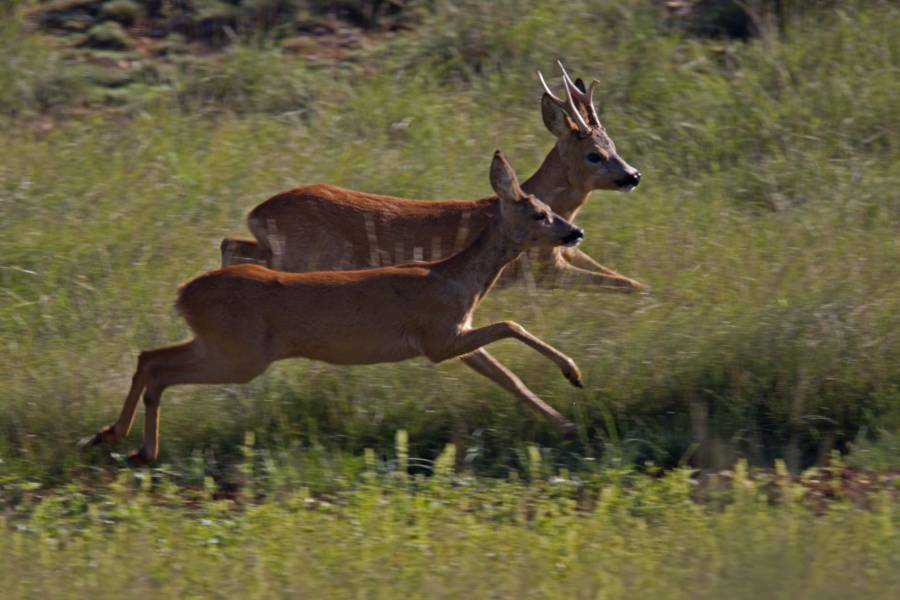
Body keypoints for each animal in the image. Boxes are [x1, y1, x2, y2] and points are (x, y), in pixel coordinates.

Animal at [82, 150, 592, 464]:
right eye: (540, 213)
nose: (575, 232)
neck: (455, 279)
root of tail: (183, 294)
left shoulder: (456, 335)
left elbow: (509, 379)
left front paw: (567, 424)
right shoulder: (437, 337)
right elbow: (510, 323)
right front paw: (574, 373)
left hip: (219, 344)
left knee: (149, 358)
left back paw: (115, 438)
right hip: (240, 354)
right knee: (159, 368)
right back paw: (135, 447)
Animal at [221, 62, 644, 292]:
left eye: (615, 145)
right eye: (594, 155)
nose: (633, 175)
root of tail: (257, 212)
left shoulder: (564, 252)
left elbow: (629, 279)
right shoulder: (539, 268)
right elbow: (624, 284)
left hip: (283, 249)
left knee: (232, 243)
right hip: (307, 255)